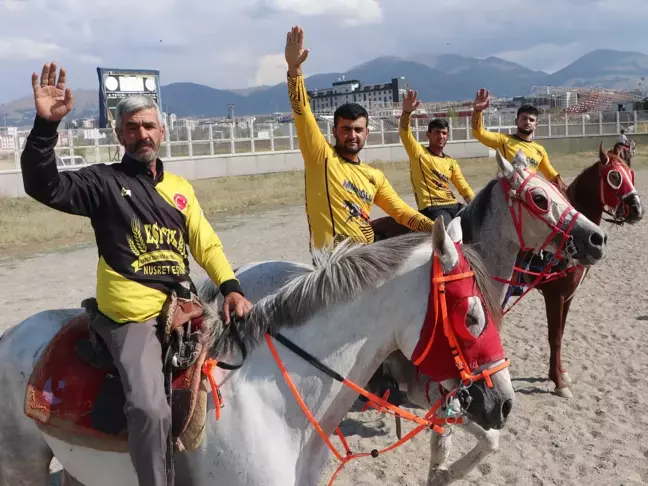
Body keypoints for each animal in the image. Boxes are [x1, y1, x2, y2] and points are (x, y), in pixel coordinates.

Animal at [370, 140, 644, 398]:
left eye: (631, 173)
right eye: (615, 177)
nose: (598, 239)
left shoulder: (567, 296)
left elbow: (560, 334)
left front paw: (561, 373)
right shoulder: (555, 295)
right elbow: (554, 336)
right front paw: (559, 382)